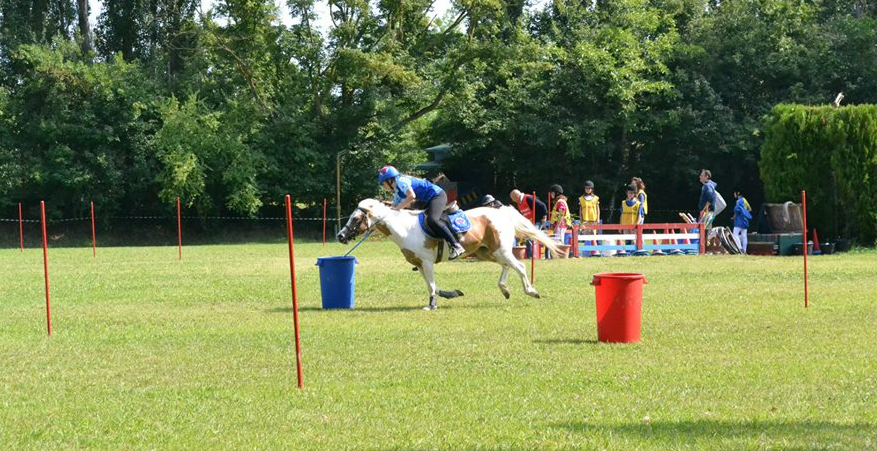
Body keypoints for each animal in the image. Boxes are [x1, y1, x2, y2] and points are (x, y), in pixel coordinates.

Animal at [336, 199, 568, 310]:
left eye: (355, 219)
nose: (340, 236)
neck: (405, 229)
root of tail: (500, 212)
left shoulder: (427, 263)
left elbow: (431, 286)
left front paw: (431, 306)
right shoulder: (419, 264)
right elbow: (435, 287)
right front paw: (453, 294)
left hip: (500, 249)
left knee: (519, 266)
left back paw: (531, 291)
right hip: (486, 251)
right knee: (506, 266)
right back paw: (505, 289)